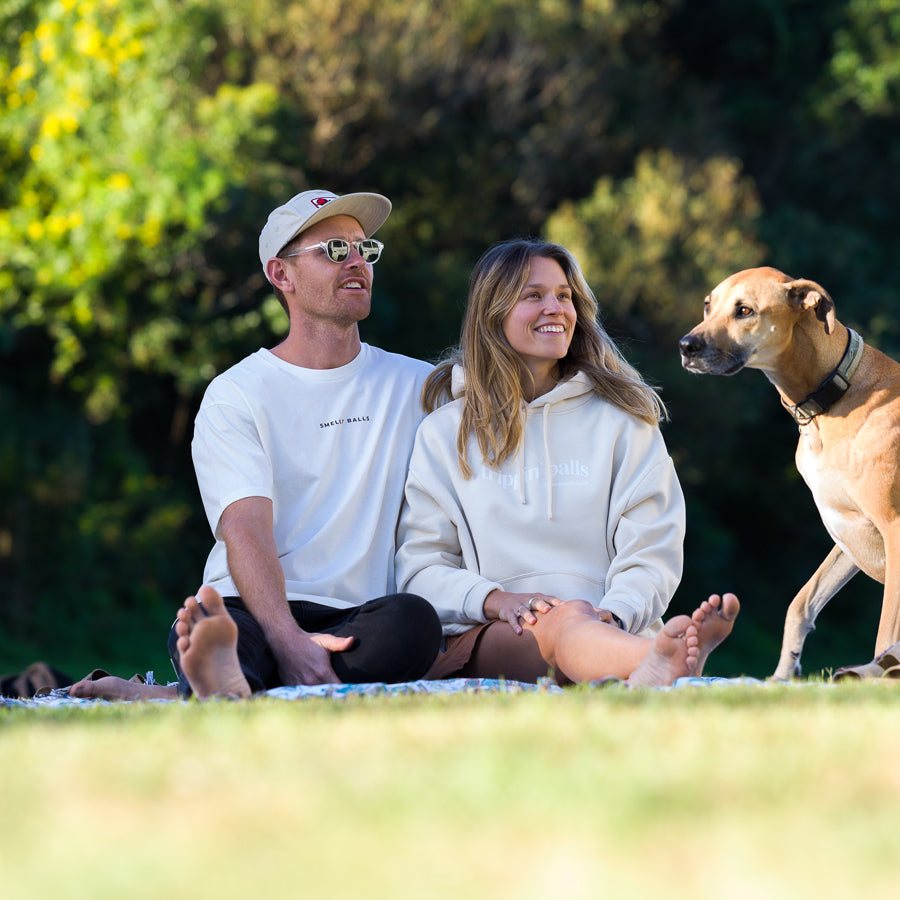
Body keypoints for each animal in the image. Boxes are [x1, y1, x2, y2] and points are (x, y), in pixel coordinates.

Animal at [680, 264, 900, 680]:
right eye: (707, 305)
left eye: (745, 311)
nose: (686, 347)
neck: (834, 397)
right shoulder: (847, 531)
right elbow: (801, 603)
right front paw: (783, 674)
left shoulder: (892, 527)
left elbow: (885, 630)